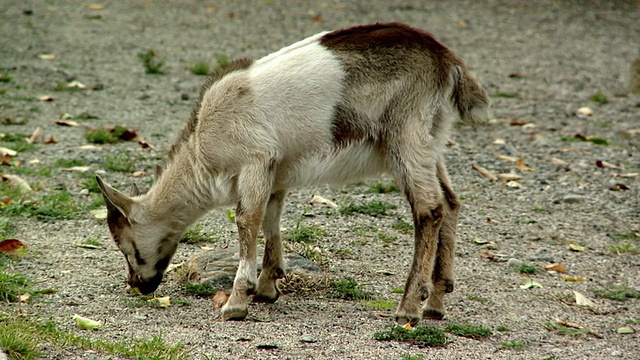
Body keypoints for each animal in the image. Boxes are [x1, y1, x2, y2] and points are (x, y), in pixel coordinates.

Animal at [96, 22, 490, 326]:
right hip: (431, 140)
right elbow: (272, 218)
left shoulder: (254, 161)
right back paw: (436, 302)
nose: (137, 284)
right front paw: (268, 287)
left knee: (429, 209)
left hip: (406, 136)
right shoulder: (276, 172)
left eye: (125, 244)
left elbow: (247, 220)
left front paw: (236, 303)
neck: (202, 148)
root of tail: (446, 61)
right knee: (450, 202)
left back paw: (408, 309)